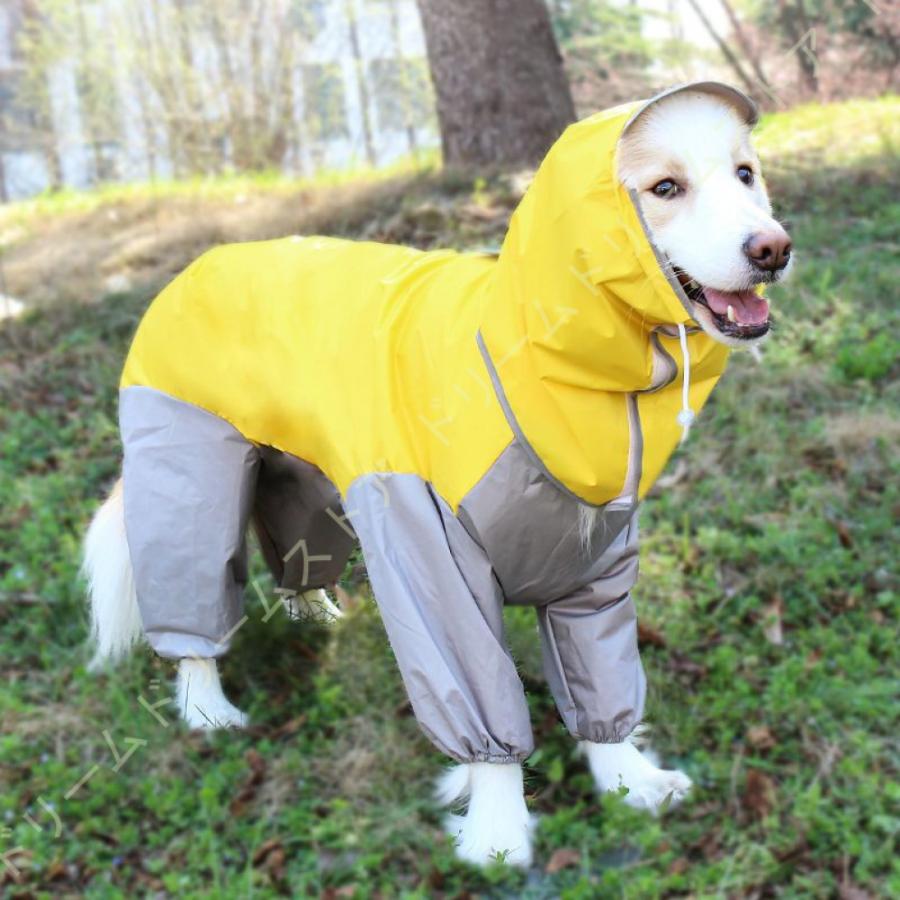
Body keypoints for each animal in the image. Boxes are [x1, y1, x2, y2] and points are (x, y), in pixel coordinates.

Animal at [82, 82, 788, 864]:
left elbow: (599, 681)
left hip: (304, 481)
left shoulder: (596, 566)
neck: (532, 355)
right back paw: (206, 707)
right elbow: (482, 705)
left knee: (294, 555)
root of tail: (192, 269)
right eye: (665, 188)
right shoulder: (432, 557)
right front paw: (497, 835)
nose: (774, 248)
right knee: (192, 599)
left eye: (746, 175)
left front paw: (630, 779)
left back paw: (315, 612)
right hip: (189, 475)